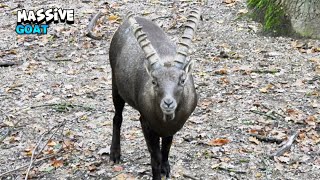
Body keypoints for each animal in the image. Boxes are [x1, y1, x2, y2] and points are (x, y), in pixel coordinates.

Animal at [109, 8, 201, 179]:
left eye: (182, 80)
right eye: (154, 81)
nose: (168, 103)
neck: (165, 120)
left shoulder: (172, 127)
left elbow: (167, 147)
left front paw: (166, 168)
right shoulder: (146, 124)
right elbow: (155, 157)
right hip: (115, 86)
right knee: (117, 117)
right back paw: (114, 154)